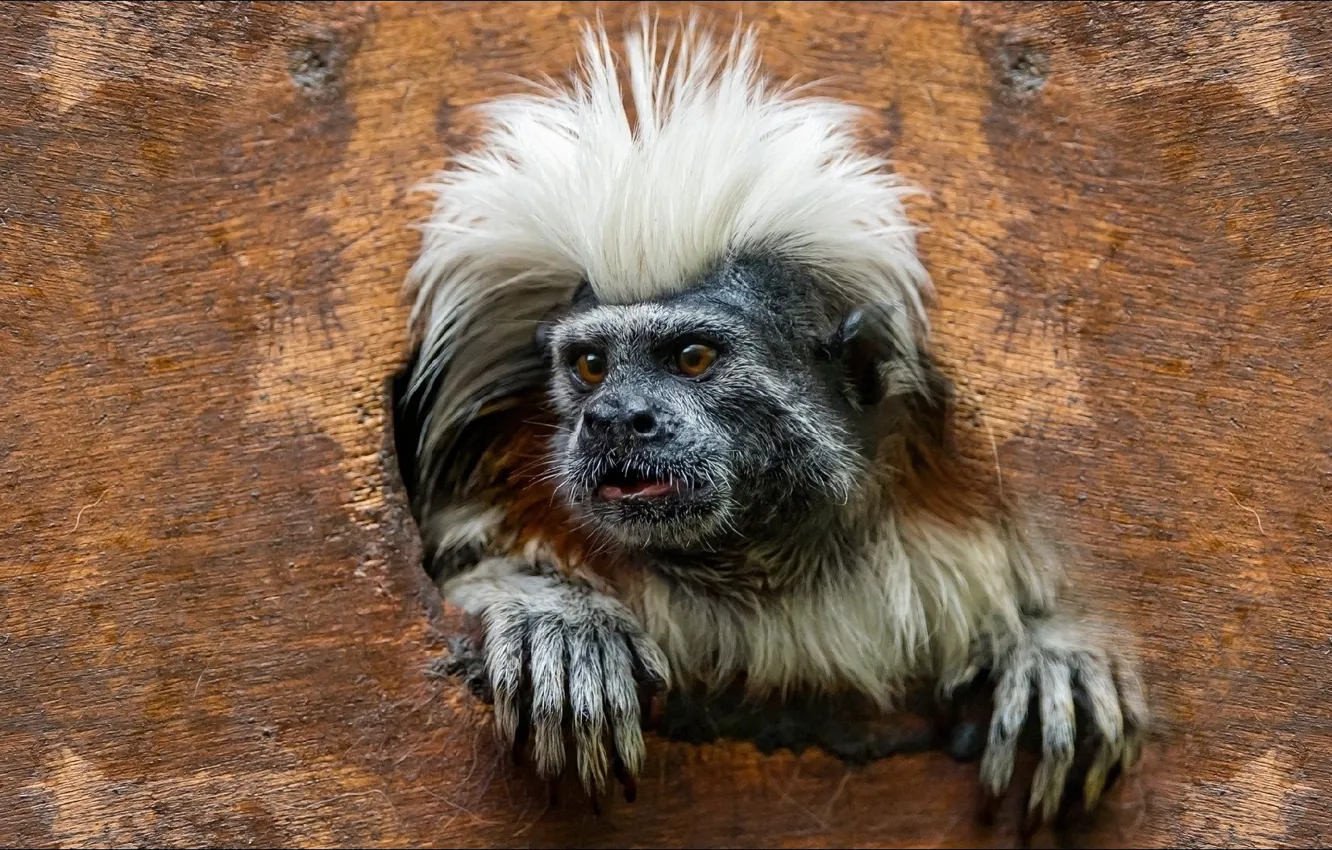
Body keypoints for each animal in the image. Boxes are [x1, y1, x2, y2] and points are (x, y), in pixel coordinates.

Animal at [396, 14, 1148, 831]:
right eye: (591, 366)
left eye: (692, 357)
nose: (615, 419)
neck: (753, 570)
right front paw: (557, 623)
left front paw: (1052, 653)